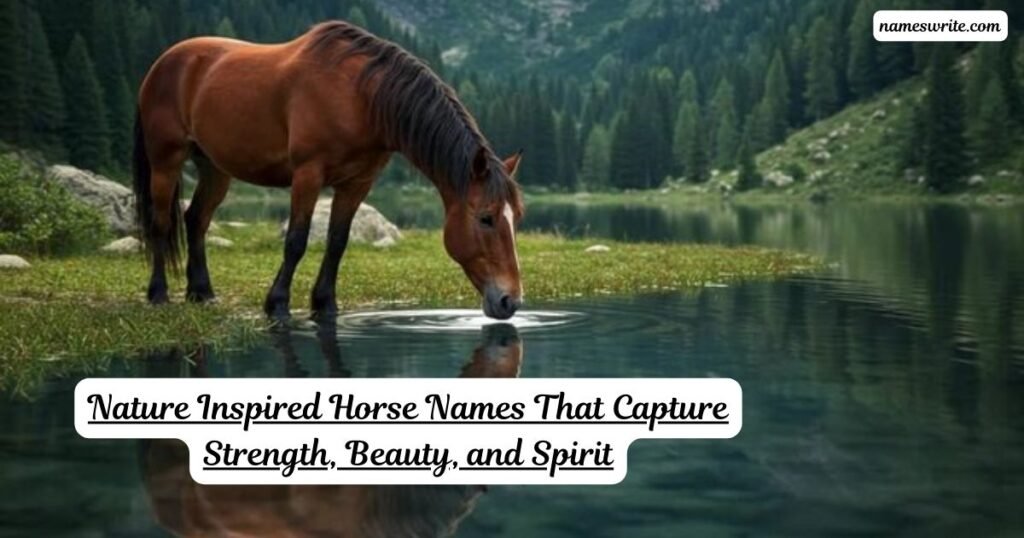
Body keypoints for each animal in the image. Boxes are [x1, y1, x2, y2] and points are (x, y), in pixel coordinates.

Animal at [133, 21, 525, 320]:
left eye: (515, 219)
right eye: (486, 218)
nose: (510, 301)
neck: (360, 96)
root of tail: (165, 62)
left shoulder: (357, 183)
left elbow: (337, 242)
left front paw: (324, 304)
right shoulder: (308, 175)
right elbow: (296, 241)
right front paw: (277, 304)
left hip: (215, 169)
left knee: (196, 219)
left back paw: (201, 292)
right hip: (166, 161)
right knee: (161, 223)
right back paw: (158, 294)